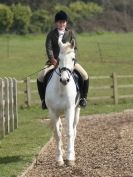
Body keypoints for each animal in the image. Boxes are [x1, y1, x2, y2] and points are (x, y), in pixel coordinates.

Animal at [45, 38, 80, 166]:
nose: (64, 80)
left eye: (73, 58)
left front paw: (70, 158)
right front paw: (59, 158)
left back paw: (72, 153)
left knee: (74, 130)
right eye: (59, 59)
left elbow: (69, 132)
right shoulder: (52, 112)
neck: (61, 88)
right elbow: (57, 134)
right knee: (59, 129)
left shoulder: (69, 110)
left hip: (76, 111)